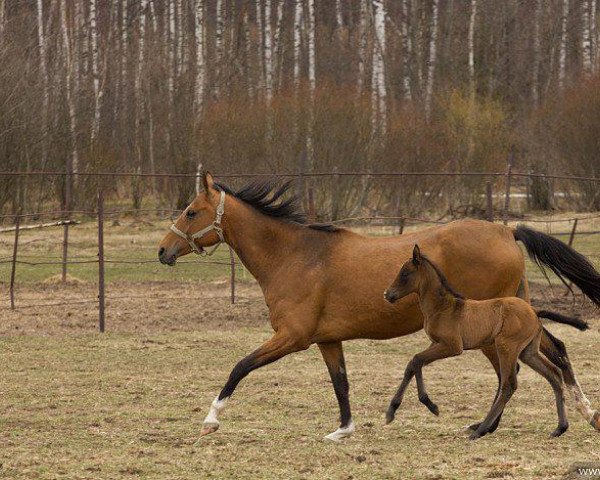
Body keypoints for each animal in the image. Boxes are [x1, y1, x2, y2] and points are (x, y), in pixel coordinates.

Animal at [384, 246, 584, 440]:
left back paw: (480, 430)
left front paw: (431, 405)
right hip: (528, 352)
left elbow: (417, 360)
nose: (387, 294)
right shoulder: (436, 344)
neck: (443, 307)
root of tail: (534, 311)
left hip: (506, 347)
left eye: (405, 273)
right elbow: (413, 364)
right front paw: (391, 411)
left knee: (509, 384)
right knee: (554, 374)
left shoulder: (452, 346)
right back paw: (560, 428)